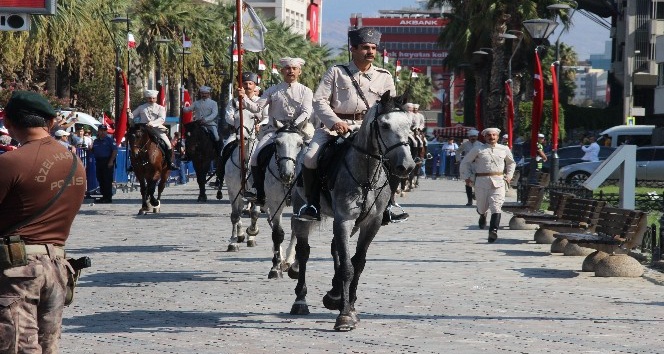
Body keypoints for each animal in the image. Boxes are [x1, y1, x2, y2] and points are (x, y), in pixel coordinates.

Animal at [264, 124, 306, 280]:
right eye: (277, 143)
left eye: (300, 144)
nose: (287, 174)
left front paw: (295, 267)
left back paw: (289, 260)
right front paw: (275, 268)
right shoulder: (274, 204)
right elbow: (277, 234)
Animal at [290, 92, 416, 332]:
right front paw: (345, 316)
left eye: (410, 125)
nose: (406, 166)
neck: (366, 175)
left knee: (335, 249)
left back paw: (335, 294)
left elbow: (357, 262)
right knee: (303, 252)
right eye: (385, 125)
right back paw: (301, 301)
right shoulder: (344, 219)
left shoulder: (370, 223)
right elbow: (348, 266)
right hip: (302, 212)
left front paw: (349, 305)